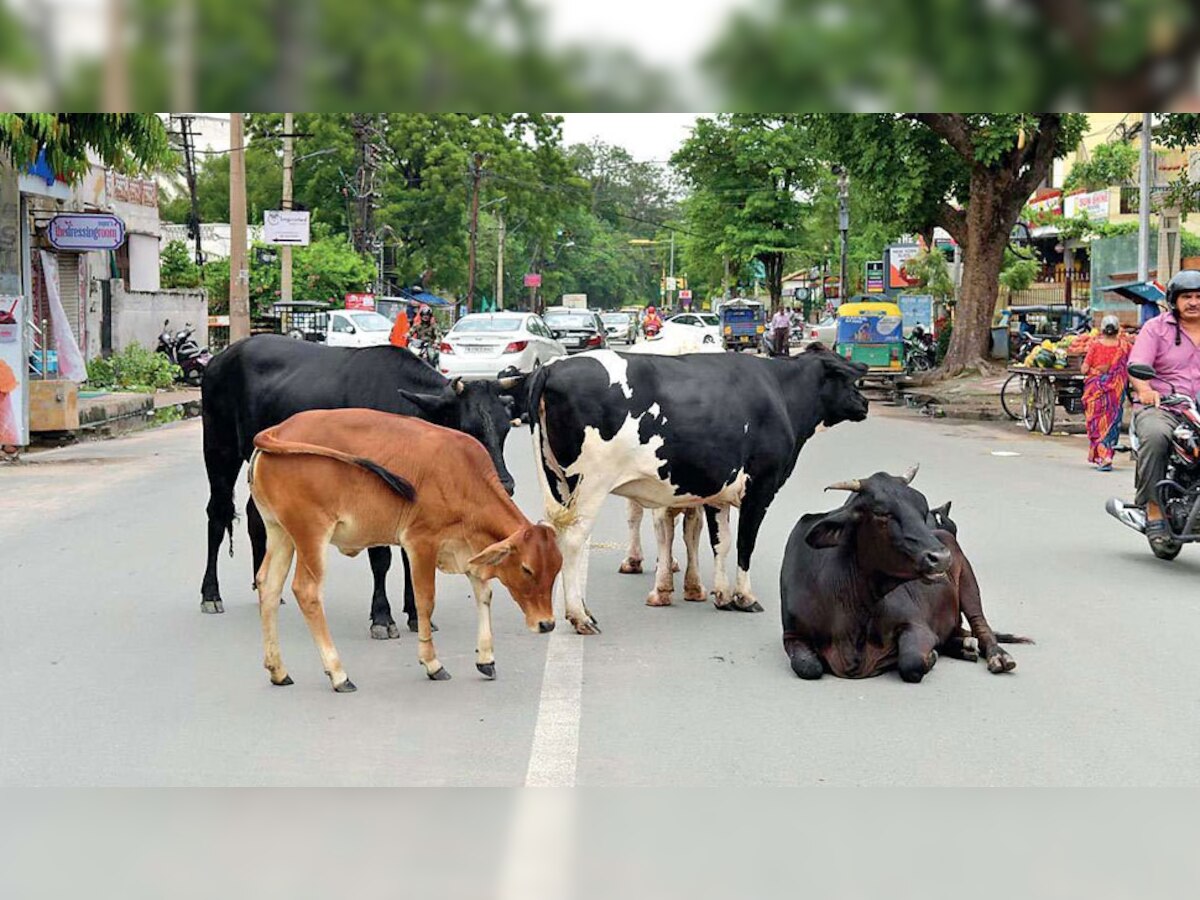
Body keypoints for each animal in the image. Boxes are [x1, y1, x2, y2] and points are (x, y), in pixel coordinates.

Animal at [199, 336, 523, 638]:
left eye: (505, 428)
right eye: (467, 430)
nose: (504, 484)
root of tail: (222, 356)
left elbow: (409, 556)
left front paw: (415, 614)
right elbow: (381, 558)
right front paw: (382, 617)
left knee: (257, 518)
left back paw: (265, 588)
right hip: (219, 449)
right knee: (217, 513)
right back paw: (211, 594)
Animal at [250, 408, 559, 691]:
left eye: (556, 570)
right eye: (527, 569)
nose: (547, 624)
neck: (463, 476)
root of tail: (279, 430)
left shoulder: (468, 549)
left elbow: (484, 595)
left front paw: (486, 658)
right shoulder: (421, 542)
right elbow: (425, 601)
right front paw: (432, 663)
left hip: (280, 532)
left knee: (268, 584)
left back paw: (278, 670)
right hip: (310, 534)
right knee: (307, 590)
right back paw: (339, 674)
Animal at [530, 343, 868, 633]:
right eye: (846, 379)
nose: (865, 403)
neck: (781, 392)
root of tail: (554, 365)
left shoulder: (718, 491)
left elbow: (721, 542)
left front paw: (721, 595)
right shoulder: (760, 488)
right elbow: (745, 543)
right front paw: (744, 597)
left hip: (559, 483)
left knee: (560, 534)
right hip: (590, 484)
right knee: (574, 540)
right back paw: (580, 616)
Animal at [777, 472, 1032, 681]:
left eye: (922, 509)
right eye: (881, 513)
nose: (941, 557)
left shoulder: (916, 625)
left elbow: (911, 662)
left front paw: (930, 657)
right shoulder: (792, 634)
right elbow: (808, 667)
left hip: (968, 582)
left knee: (980, 624)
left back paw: (998, 656)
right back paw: (964, 646)